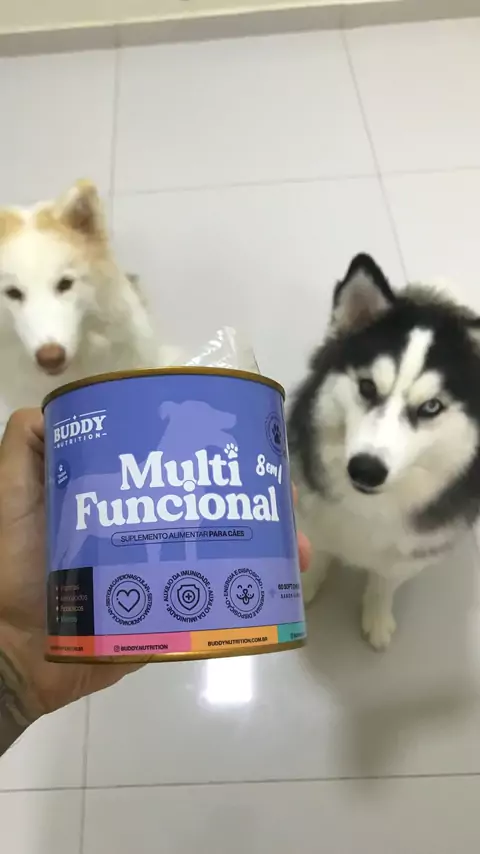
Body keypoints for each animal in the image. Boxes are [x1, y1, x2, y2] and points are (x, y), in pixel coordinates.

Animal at [289, 253, 480, 650]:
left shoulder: (410, 552)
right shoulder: (312, 512)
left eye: (431, 407)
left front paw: (377, 616)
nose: (366, 469)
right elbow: (319, 553)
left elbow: (384, 581)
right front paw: (306, 585)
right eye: (366, 387)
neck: (369, 507)